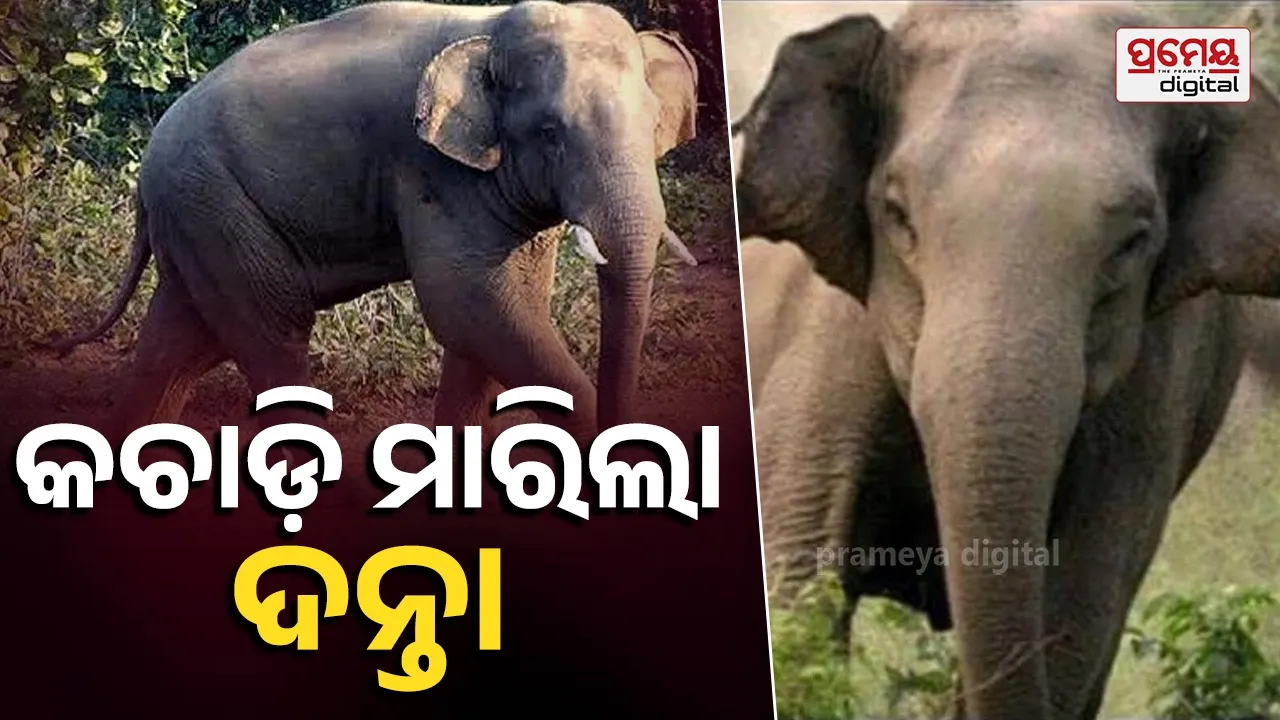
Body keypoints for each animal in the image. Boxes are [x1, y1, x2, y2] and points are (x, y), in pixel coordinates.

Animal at [52, 0, 699, 445]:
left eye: (652, 123)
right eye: (549, 132)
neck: (490, 29)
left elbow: (494, 317)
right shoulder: (433, 170)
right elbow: (469, 304)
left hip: (199, 215)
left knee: (182, 341)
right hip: (215, 206)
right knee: (273, 333)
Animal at [735, 3, 1280, 718]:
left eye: (1134, 241)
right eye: (897, 214)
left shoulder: (1156, 392)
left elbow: (1082, 608)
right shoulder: (824, 340)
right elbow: (799, 578)